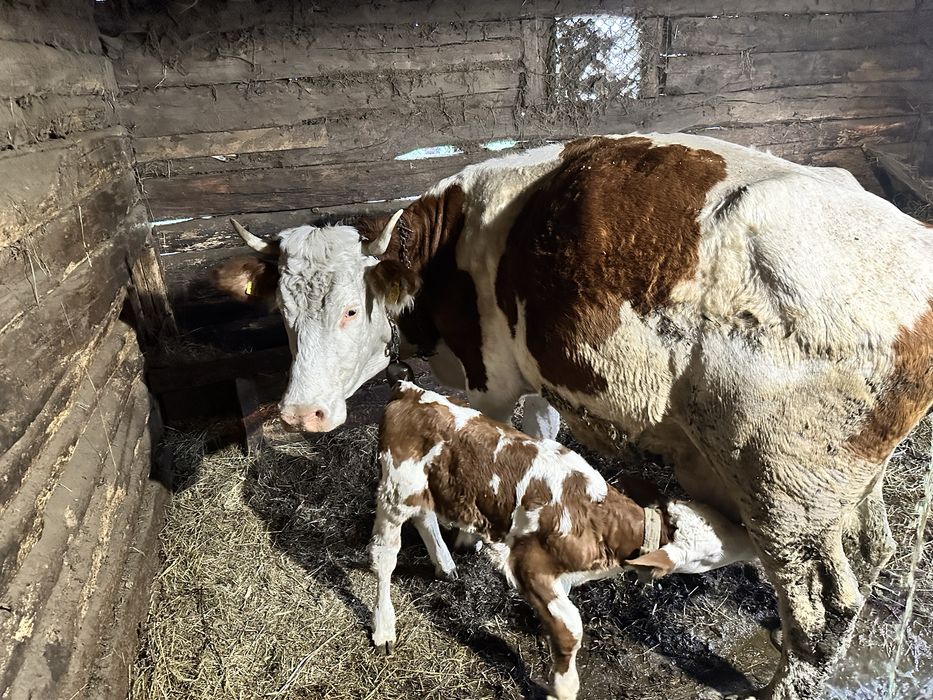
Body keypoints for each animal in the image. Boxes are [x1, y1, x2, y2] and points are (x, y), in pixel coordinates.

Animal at [370, 379, 756, 700]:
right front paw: (563, 686)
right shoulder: (528, 564)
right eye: (711, 555)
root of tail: (410, 390)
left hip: (424, 489)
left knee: (424, 515)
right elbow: (571, 627)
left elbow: (561, 617)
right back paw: (384, 627)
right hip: (395, 491)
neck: (601, 523)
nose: (750, 541)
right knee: (384, 558)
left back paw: (444, 564)